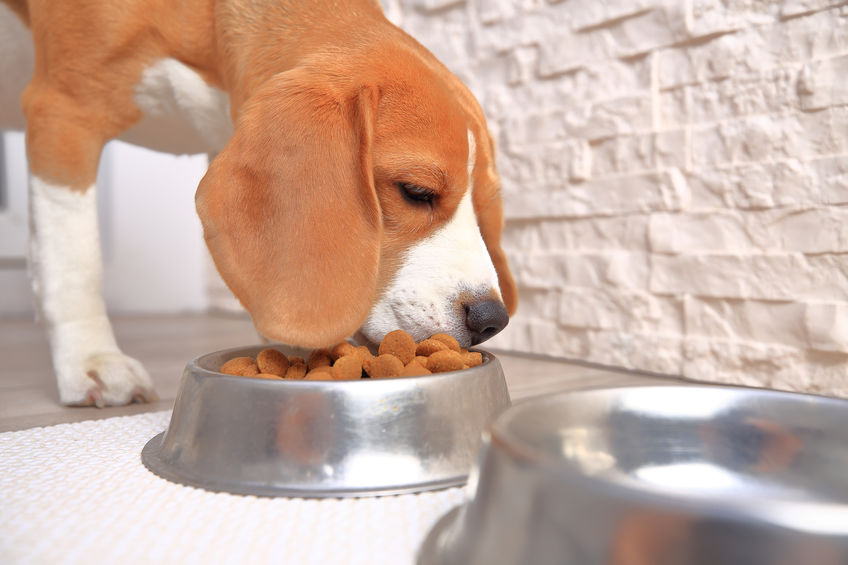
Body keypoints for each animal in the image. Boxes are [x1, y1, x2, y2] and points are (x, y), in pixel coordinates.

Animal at [1, 0, 516, 406]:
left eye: (485, 208)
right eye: (415, 192)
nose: (491, 320)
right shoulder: (63, 113)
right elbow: (73, 261)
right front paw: (91, 358)